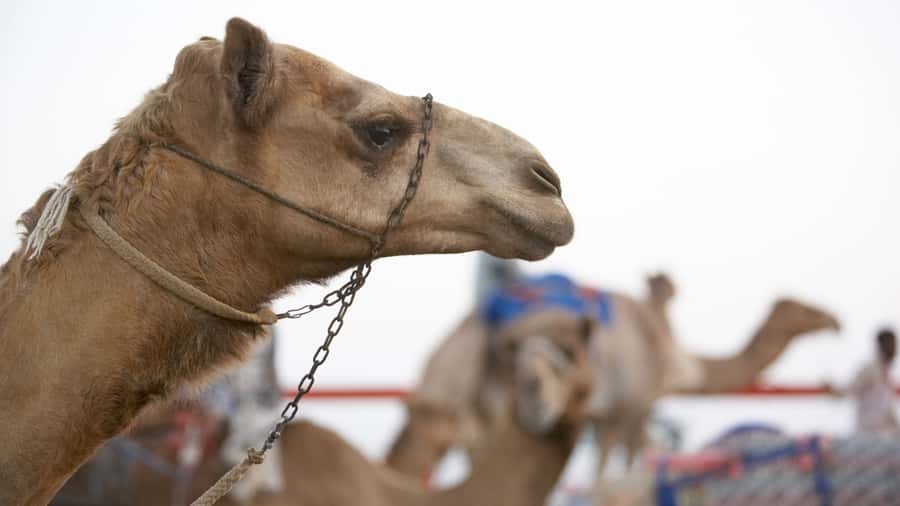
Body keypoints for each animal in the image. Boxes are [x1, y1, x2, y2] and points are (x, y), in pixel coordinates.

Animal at [385, 273, 840, 489]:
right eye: (802, 308)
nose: (835, 320)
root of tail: (444, 349)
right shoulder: (636, 403)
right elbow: (636, 456)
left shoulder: (606, 414)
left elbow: (605, 465)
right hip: (478, 400)